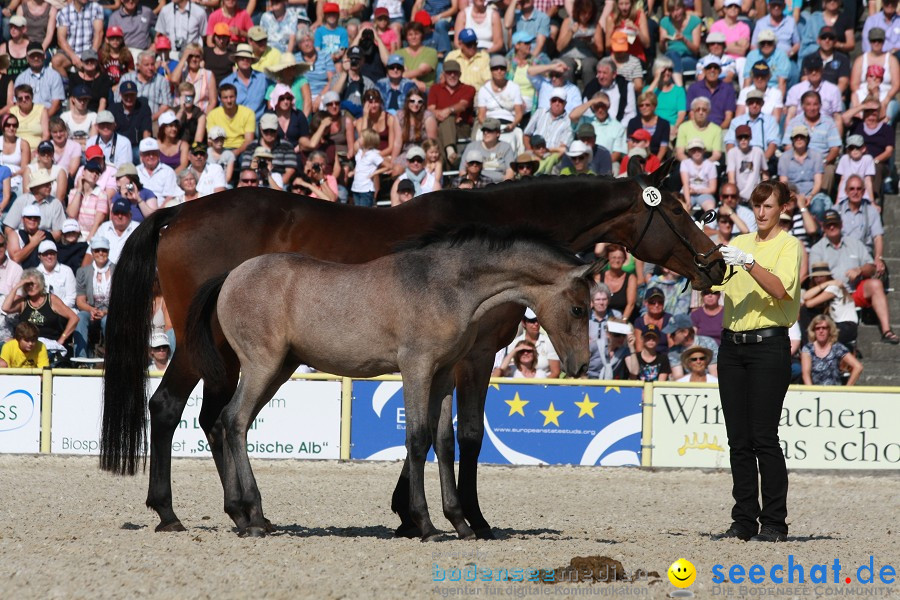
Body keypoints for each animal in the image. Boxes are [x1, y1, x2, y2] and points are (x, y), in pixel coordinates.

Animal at [185, 225, 600, 540]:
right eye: (578, 308)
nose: (581, 365)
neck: (446, 286)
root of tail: (231, 276)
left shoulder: (444, 374)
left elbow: (443, 441)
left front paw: (460, 522)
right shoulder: (416, 368)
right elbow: (416, 438)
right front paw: (426, 524)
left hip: (280, 368)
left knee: (225, 422)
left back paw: (242, 515)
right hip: (262, 365)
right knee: (236, 420)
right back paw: (253, 515)